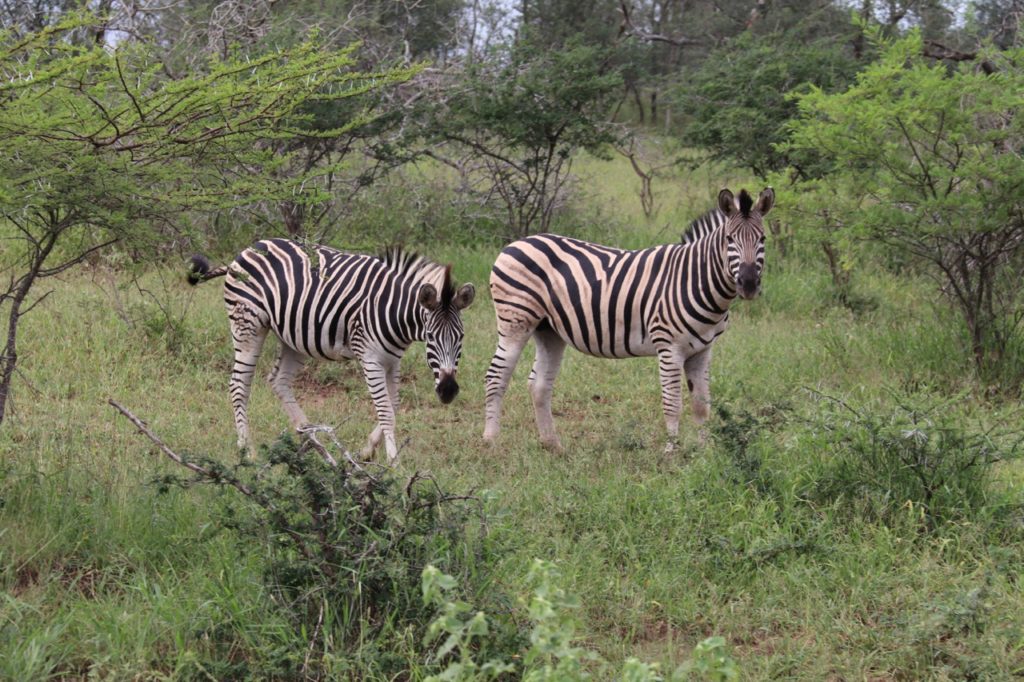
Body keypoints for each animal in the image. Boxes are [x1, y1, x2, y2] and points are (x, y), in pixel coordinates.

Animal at [188, 236, 475, 464]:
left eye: (461, 337)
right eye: (430, 337)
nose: (448, 391)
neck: (393, 310)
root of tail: (248, 249)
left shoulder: (393, 360)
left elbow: (393, 405)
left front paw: (367, 451)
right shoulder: (370, 358)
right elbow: (385, 410)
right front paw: (394, 462)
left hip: (293, 337)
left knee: (278, 381)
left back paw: (309, 436)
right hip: (248, 326)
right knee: (239, 384)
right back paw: (246, 449)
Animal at [483, 187, 770, 450]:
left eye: (763, 238)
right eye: (730, 239)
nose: (748, 284)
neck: (692, 279)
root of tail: (516, 243)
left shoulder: (702, 350)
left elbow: (701, 406)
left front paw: (703, 454)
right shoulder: (669, 347)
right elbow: (672, 404)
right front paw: (671, 453)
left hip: (548, 330)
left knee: (539, 385)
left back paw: (552, 444)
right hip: (516, 320)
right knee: (496, 376)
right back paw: (491, 440)